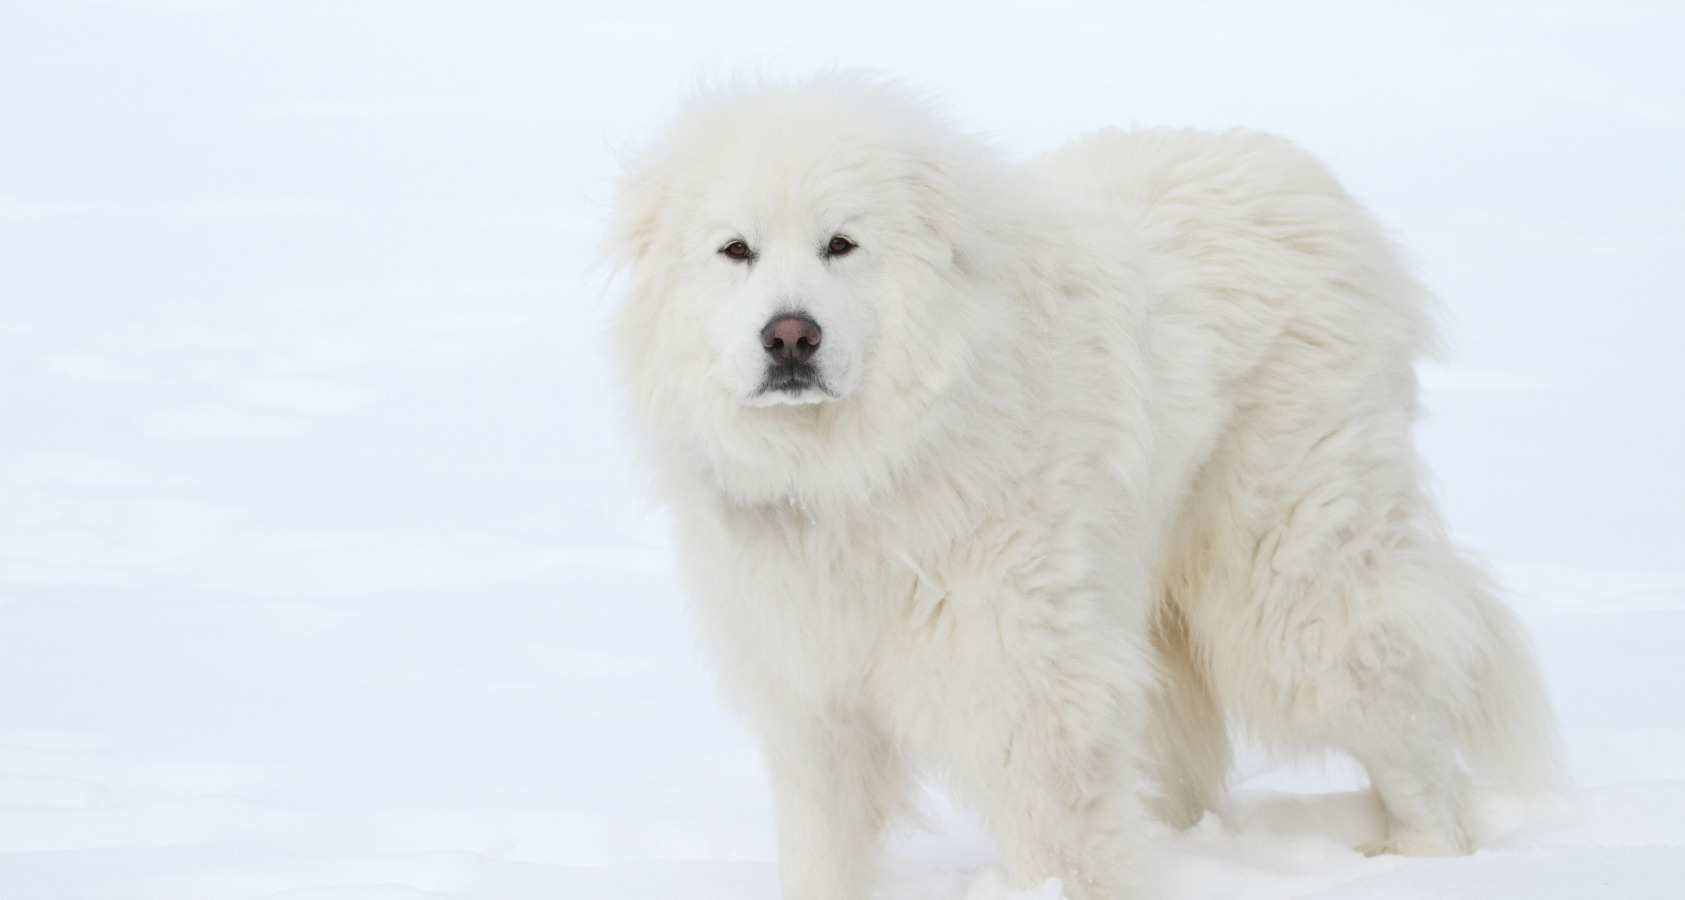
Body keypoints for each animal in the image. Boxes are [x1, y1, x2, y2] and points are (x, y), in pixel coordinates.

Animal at [606, 74, 1563, 896]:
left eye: (841, 245)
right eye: (735, 251)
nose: (789, 337)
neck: (865, 465)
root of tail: (1302, 183)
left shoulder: (1032, 688)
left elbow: (1058, 842)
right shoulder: (815, 699)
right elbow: (820, 851)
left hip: (1286, 585)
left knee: (1400, 716)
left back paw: (1427, 861)